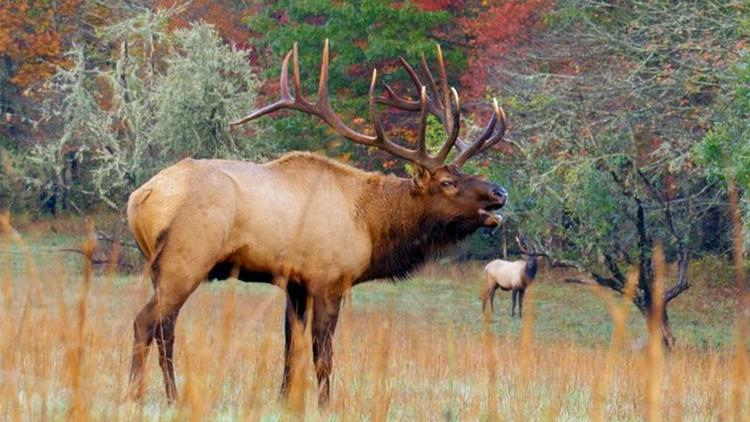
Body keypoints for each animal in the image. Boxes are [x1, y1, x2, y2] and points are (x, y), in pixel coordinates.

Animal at [129, 41, 516, 408]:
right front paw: (325, 404)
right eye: (448, 183)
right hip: (186, 259)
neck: (371, 226)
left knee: (158, 325)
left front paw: (286, 400)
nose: (500, 191)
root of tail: (140, 198)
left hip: (161, 266)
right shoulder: (330, 279)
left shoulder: (296, 284)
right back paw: (153, 396)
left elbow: (291, 350)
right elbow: (323, 354)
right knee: (149, 322)